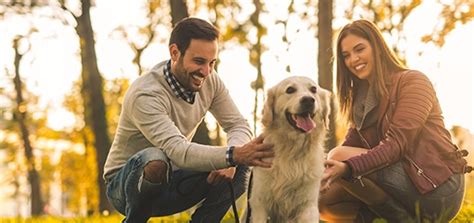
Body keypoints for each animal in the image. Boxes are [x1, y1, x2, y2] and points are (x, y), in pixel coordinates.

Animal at [248, 76, 330, 223]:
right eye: (290, 90)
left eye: (313, 89)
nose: (308, 100)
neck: (292, 151)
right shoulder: (259, 204)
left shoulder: (308, 206)